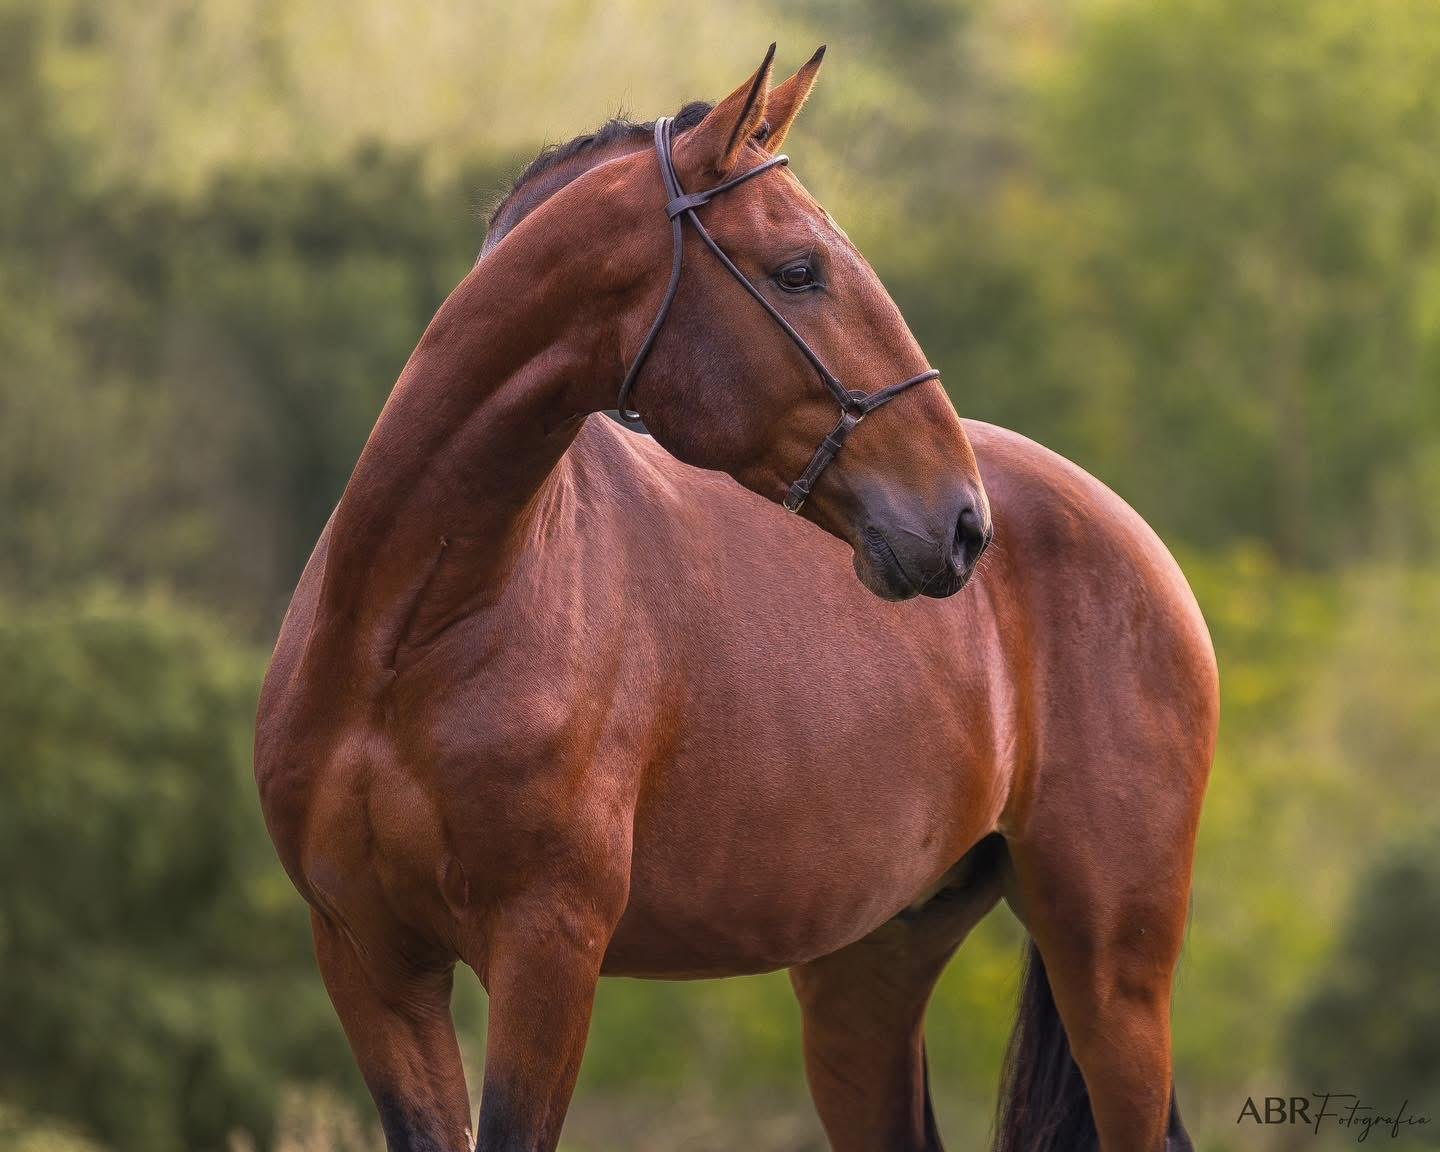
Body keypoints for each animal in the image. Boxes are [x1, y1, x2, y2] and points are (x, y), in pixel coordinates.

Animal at [255, 46, 1217, 1152]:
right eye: (800, 270)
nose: (962, 523)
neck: (409, 635)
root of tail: (1136, 543)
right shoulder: (370, 960)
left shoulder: (547, 954)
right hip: (864, 973)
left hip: (1113, 974)